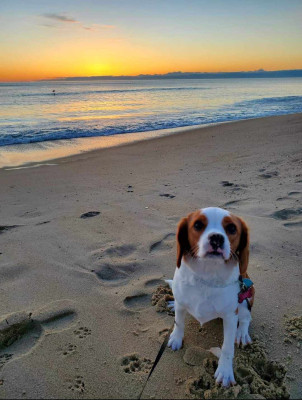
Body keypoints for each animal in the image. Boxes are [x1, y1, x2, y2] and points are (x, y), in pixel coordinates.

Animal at [168, 208, 255, 386]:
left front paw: (225, 371)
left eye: (232, 228)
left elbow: (227, 347)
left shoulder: (231, 316)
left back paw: (242, 333)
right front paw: (176, 338)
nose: (216, 238)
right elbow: (179, 322)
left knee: (245, 318)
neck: (207, 274)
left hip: (245, 299)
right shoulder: (181, 303)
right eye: (197, 225)